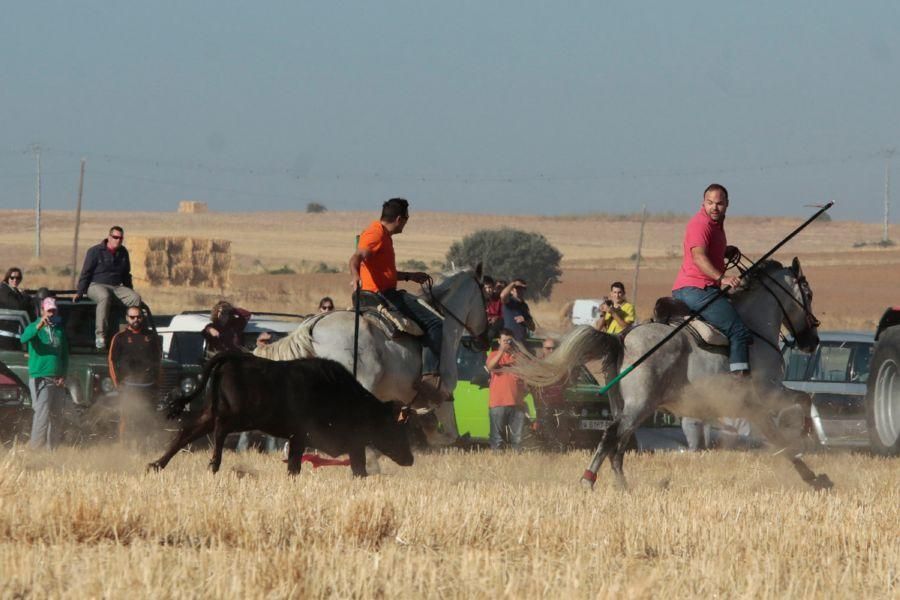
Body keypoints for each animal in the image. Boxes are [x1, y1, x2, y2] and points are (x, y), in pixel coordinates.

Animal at [148, 354, 414, 476]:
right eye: (395, 429)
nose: (410, 459)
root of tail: (233, 357)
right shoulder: (302, 436)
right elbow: (295, 465)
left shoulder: (350, 444)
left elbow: (358, 470)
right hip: (236, 416)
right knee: (219, 431)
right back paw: (214, 463)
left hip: (210, 413)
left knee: (186, 432)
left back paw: (156, 464)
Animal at [510, 258, 832, 492]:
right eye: (809, 294)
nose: (811, 341)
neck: (754, 329)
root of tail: (622, 338)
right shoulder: (768, 392)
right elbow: (802, 402)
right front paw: (806, 436)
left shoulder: (753, 406)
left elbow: (781, 439)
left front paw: (814, 477)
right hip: (639, 404)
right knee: (611, 436)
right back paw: (589, 481)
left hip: (630, 406)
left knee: (619, 443)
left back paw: (622, 486)